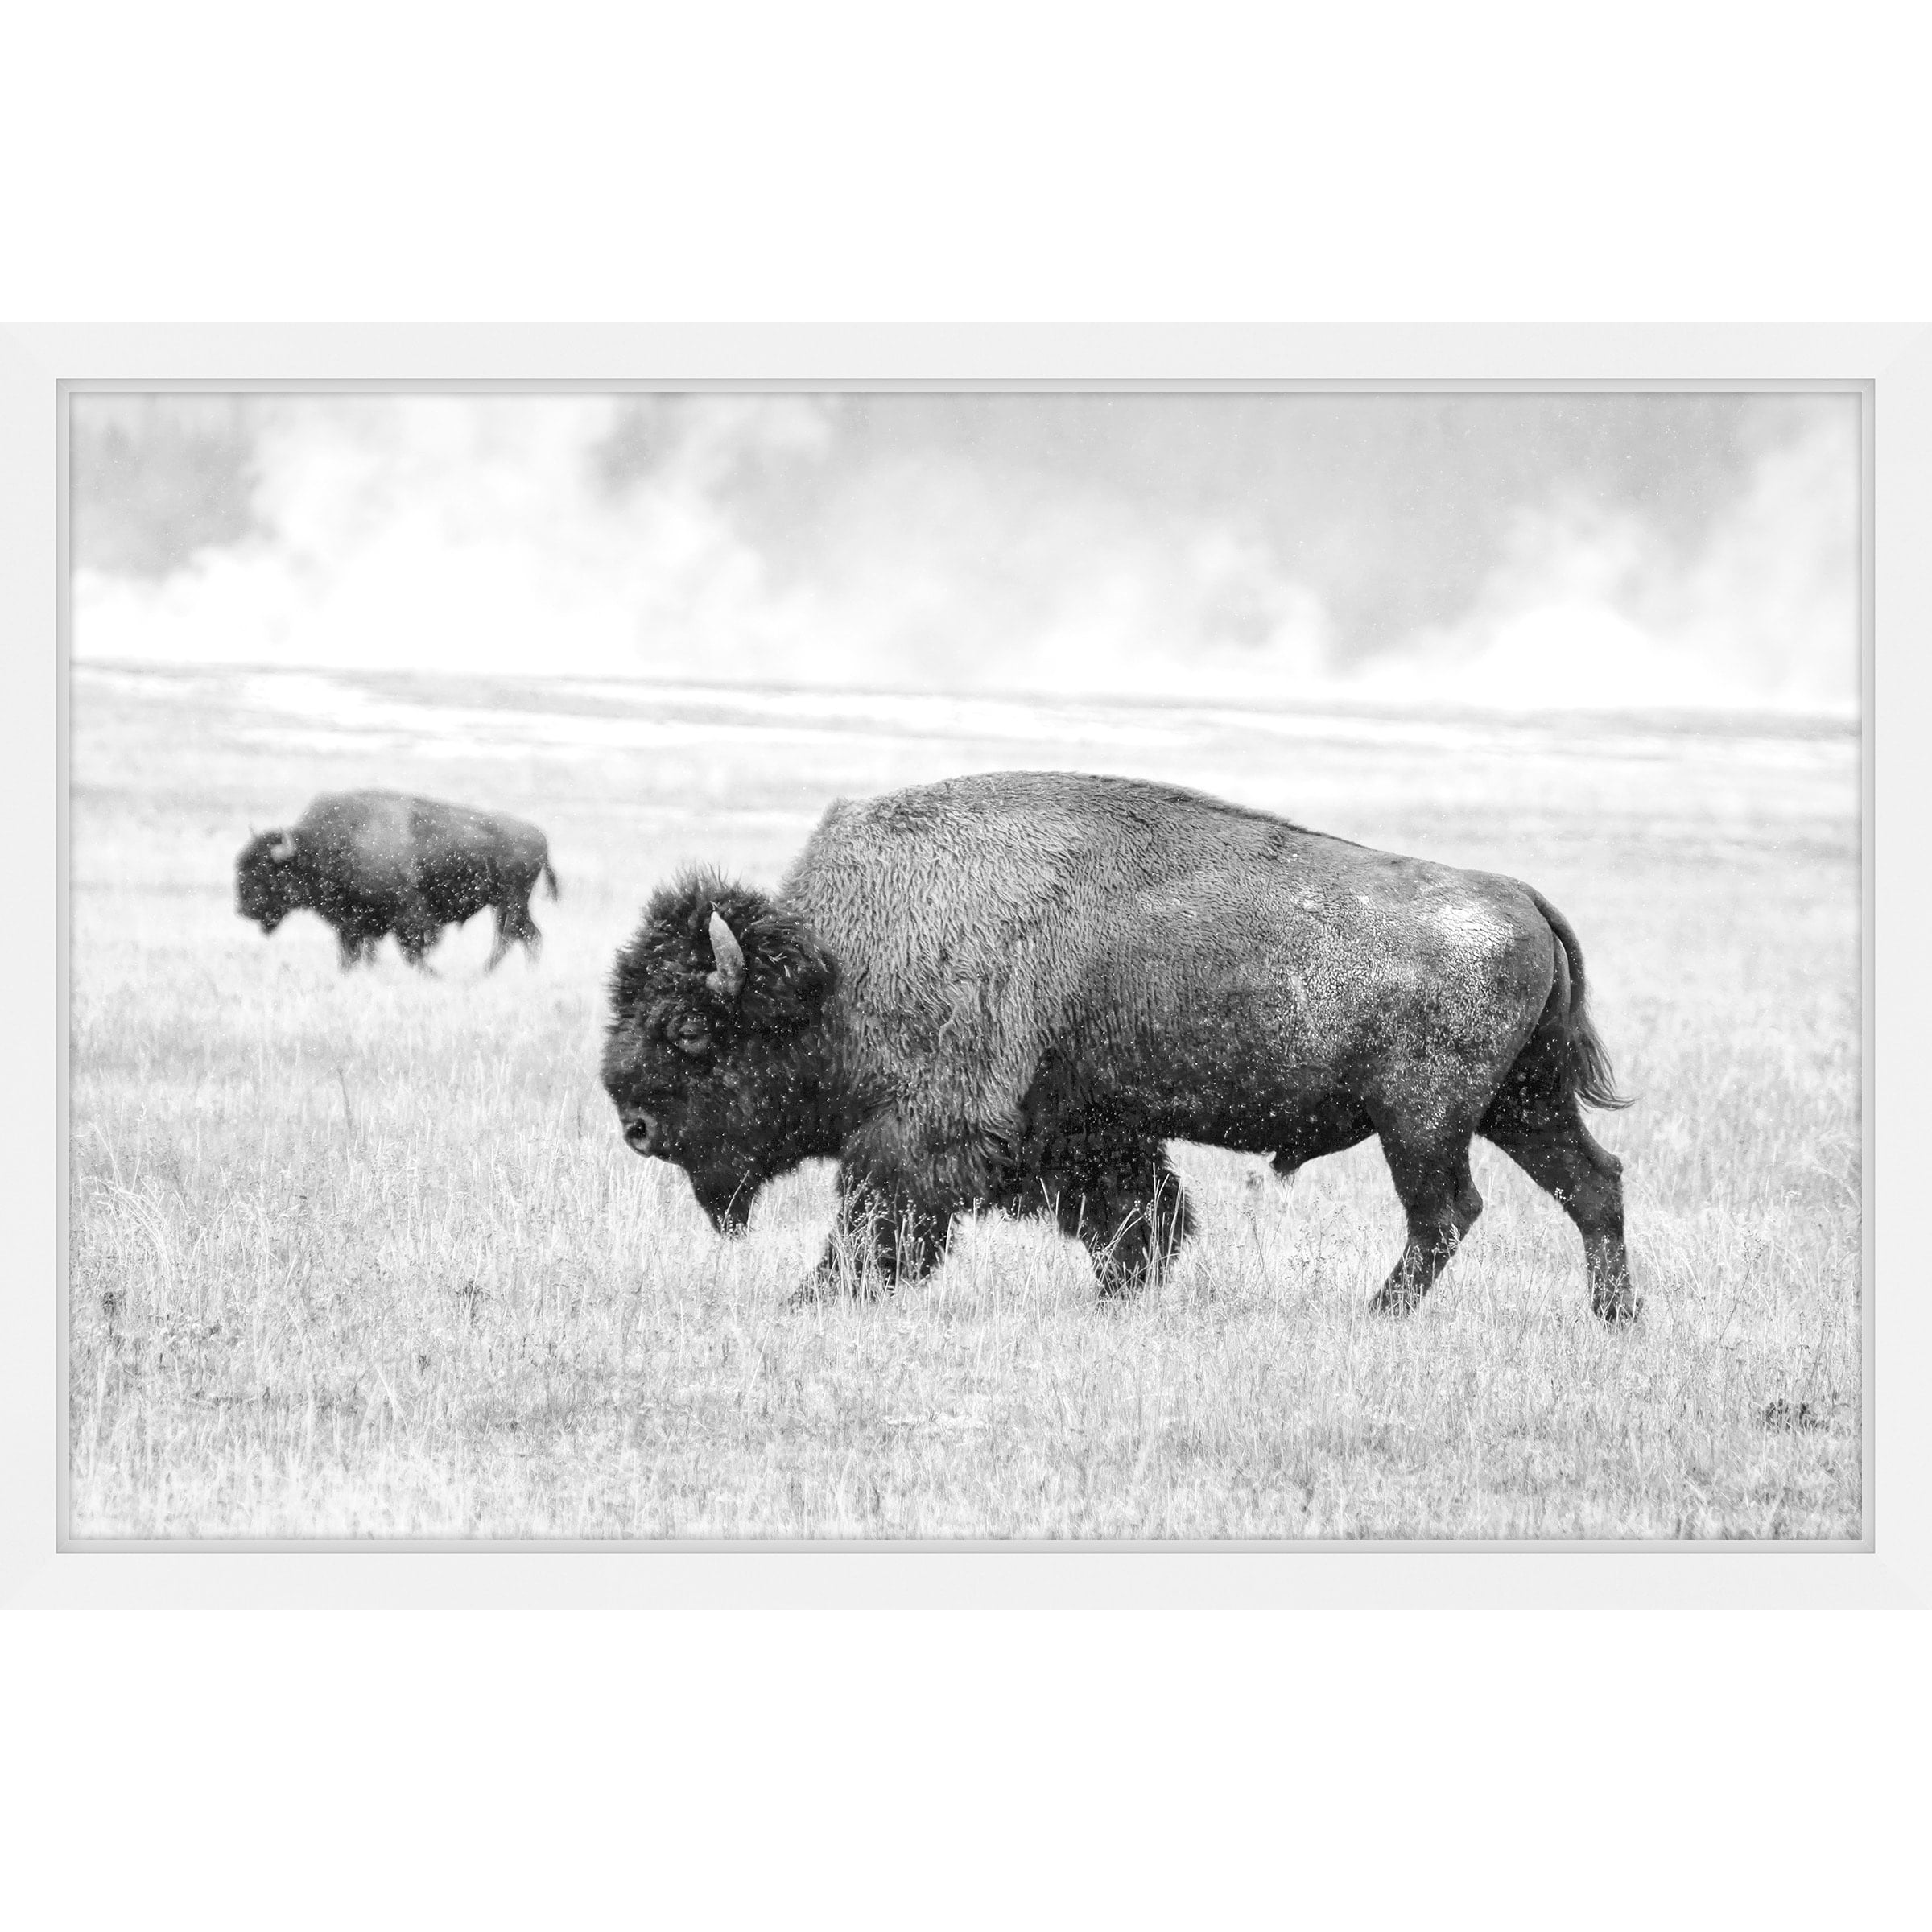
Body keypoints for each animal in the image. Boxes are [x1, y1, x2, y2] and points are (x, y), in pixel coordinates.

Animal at [236, 790, 559, 972]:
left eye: (267, 871)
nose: (244, 909)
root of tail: (539, 836)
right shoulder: (353, 924)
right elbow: (354, 954)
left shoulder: (409, 916)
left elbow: (412, 950)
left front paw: (431, 974)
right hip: (508, 904)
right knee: (529, 935)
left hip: (509, 902)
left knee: (511, 936)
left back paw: (485, 972)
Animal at [601, 771, 1636, 1321]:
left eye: (689, 1031)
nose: (636, 1125)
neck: (840, 966)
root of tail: (1515, 894)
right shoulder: (1082, 1130)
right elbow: (1141, 1217)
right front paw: (1117, 1298)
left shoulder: (926, 1134)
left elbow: (876, 1221)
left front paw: (812, 1300)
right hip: (1520, 1104)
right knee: (1593, 1184)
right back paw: (1615, 1321)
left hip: (1423, 1121)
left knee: (1448, 1212)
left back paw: (1376, 1318)